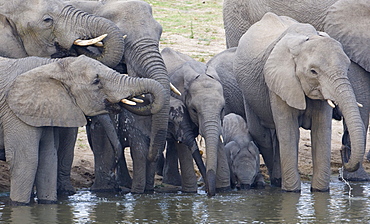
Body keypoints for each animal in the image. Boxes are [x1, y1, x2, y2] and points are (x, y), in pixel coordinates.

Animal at [0, 54, 166, 205]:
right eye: (96, 81)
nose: (118, 187)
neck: (52, 65)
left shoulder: (44, 110)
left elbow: (48, 159)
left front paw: (49, 203)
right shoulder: (13, 110)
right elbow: (26, 160)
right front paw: (20, 205)